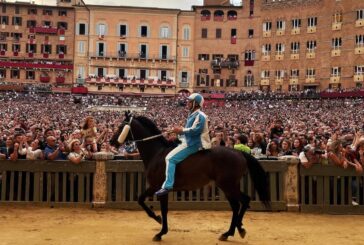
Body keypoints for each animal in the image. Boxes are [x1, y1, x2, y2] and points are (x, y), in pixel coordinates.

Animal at [111, 112, 270, 241]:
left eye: (120, 126)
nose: (111, 141)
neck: (157, 153)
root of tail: (239, 153)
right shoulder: (160, 189)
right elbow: (157, 207)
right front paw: (161, 226)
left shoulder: (157, 187)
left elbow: (145, 202)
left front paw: (159, 226)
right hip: (229, 186)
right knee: (237, 205)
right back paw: (232, 231)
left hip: (228, 185)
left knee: (243, 201)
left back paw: (234, 230)